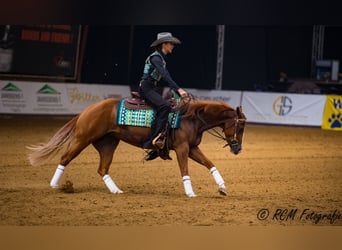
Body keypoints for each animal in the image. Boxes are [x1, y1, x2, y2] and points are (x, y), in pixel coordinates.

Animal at [26, 94, 246, 196]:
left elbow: (211, 164)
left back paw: (116, 190)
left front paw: (222, 187)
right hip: (83, 139)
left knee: (102, 168)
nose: (237, 149)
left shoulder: (192, 148)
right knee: (65, 158)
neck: (191, 117)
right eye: (240, 126)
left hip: (108, 144)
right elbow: (185, 170)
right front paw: (190, 192)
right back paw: (54, 185)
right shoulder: (183, 148)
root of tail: (87, 111)